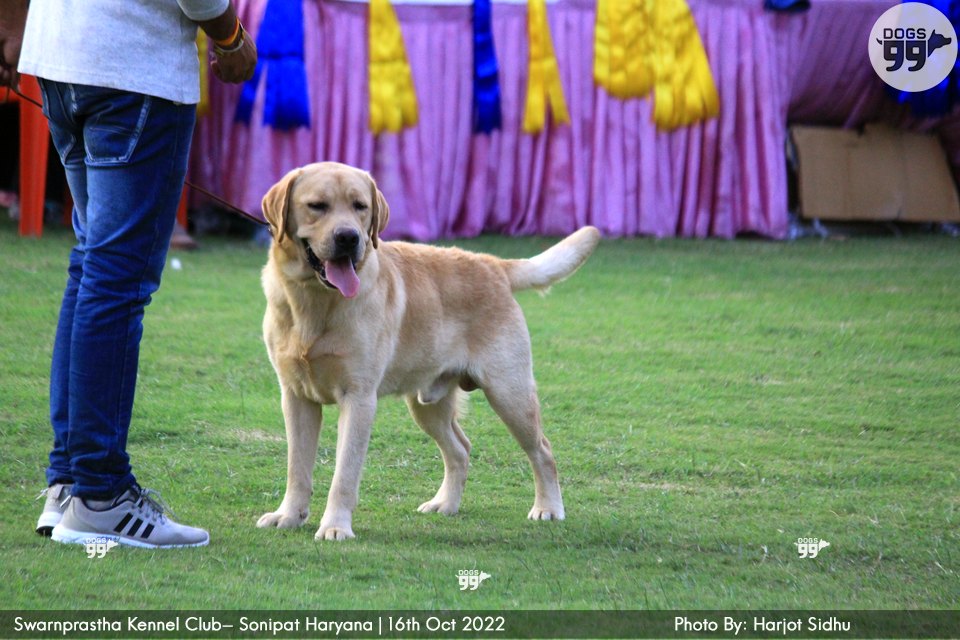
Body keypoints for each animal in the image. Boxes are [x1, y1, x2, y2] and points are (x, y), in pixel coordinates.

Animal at [256, 162, 600, 540]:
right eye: (317, 206)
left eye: (360, 207)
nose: (349, 238)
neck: (314, 304)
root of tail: (492, 264)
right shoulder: (295, 397)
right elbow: (297, 468)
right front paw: (288, 515)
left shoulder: (358, 399)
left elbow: (343, 475)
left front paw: (335, 526)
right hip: (427, 404)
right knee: (461, 449)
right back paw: (445, 504)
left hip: (510, 393)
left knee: (543, 450)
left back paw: (548, 508)